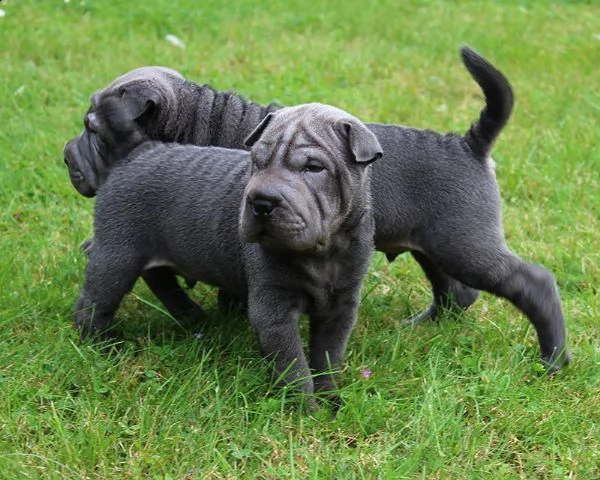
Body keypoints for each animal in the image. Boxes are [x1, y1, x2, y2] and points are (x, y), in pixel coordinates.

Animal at [65, 46, 572, 372]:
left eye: (92, 128)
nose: (66, 158)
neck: (199, 122)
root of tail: (468, 143)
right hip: (435, 244)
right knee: (457, 293)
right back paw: (421, 327)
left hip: (465, 244)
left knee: (531, 282)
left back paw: (553, 359)